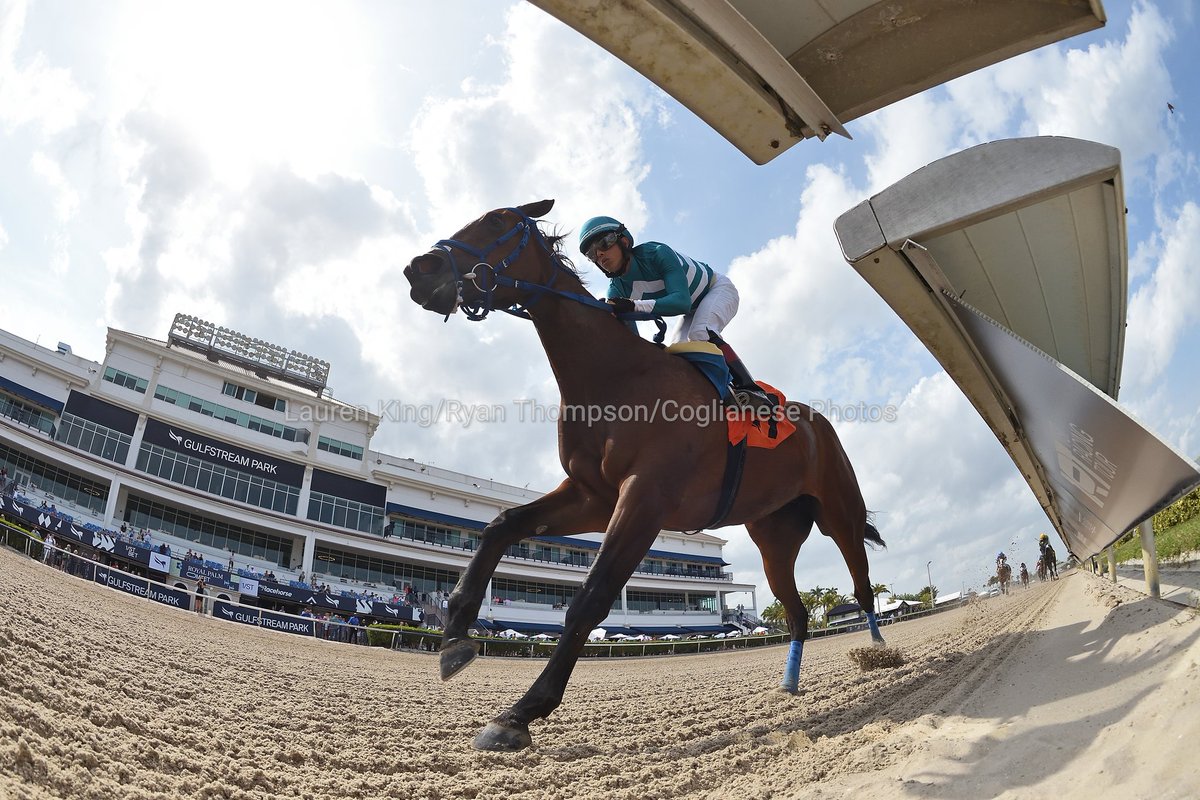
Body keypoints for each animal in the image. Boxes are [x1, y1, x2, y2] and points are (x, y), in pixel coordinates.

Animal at [403, 200, 883, 753]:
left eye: (498, 221)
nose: (419, 269)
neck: (616, 376)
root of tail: (816, 422)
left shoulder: (645, 499)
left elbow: (591, 597)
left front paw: (521, 712)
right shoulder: (592, 496)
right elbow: (502, 524)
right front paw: (456, 636)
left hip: (839, 512)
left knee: (862, 583)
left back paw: (879, 652)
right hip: (773, 539)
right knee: (798, 612)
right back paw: (789, 684)